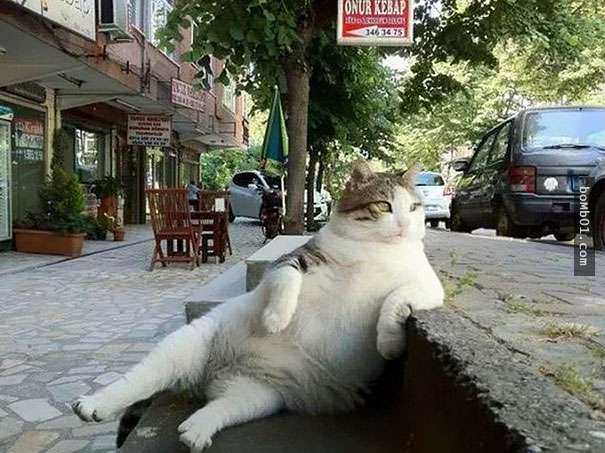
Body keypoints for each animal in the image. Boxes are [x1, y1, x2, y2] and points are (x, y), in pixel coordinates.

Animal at [72, 160, 444, 452]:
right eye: (384, 206)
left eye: (413, 207)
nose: (405, 224)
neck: (375, 251)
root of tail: (212, 373)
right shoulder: (292, 260)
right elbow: (286, 279)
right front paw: (276, 319)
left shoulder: (428, 287)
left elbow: (397, 298)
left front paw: (389, 342)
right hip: (187, 342)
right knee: (138, 380)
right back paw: (93, 404)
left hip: (257, 395)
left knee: (218, 407)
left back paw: (196, 429)